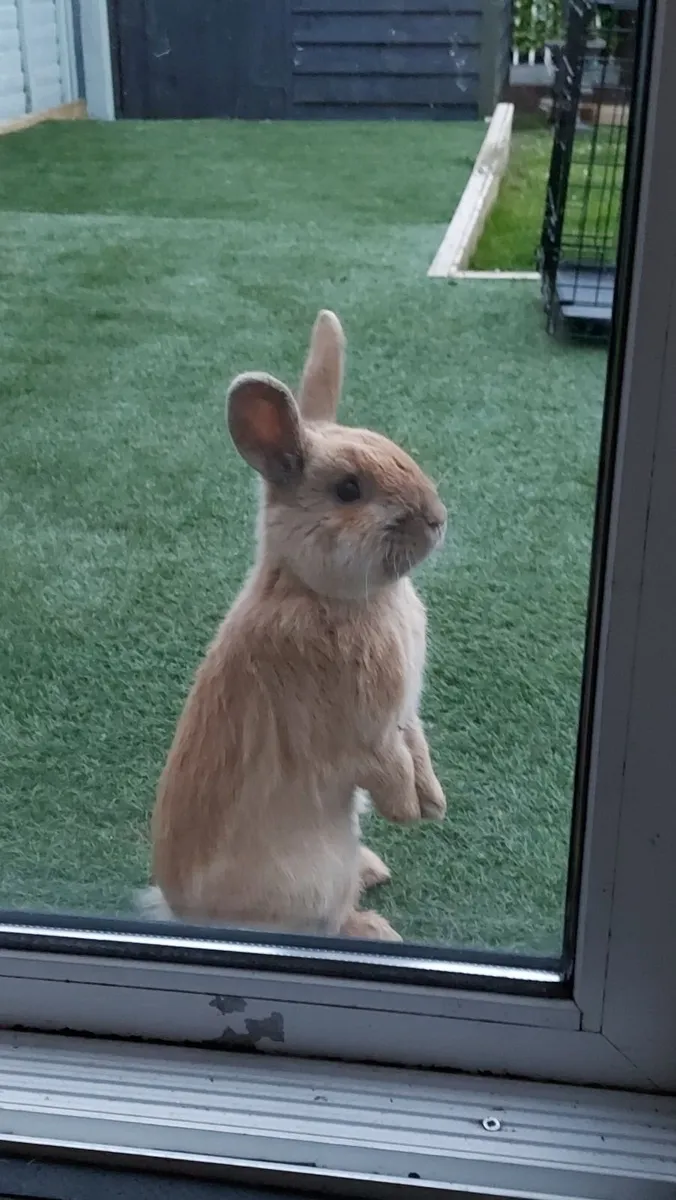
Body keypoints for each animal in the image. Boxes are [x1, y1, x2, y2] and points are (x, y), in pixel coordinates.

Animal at [147, 310, 447, 942]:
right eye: (349, 490)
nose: (437, 519)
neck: (327, 594)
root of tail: (185, 919)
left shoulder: (404, 714)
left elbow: (417, 744)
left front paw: (434, 803)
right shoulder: (358, 732)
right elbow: (387, 763)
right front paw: (409, 812)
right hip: (313, 881)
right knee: (327, 923)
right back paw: (376, 929)